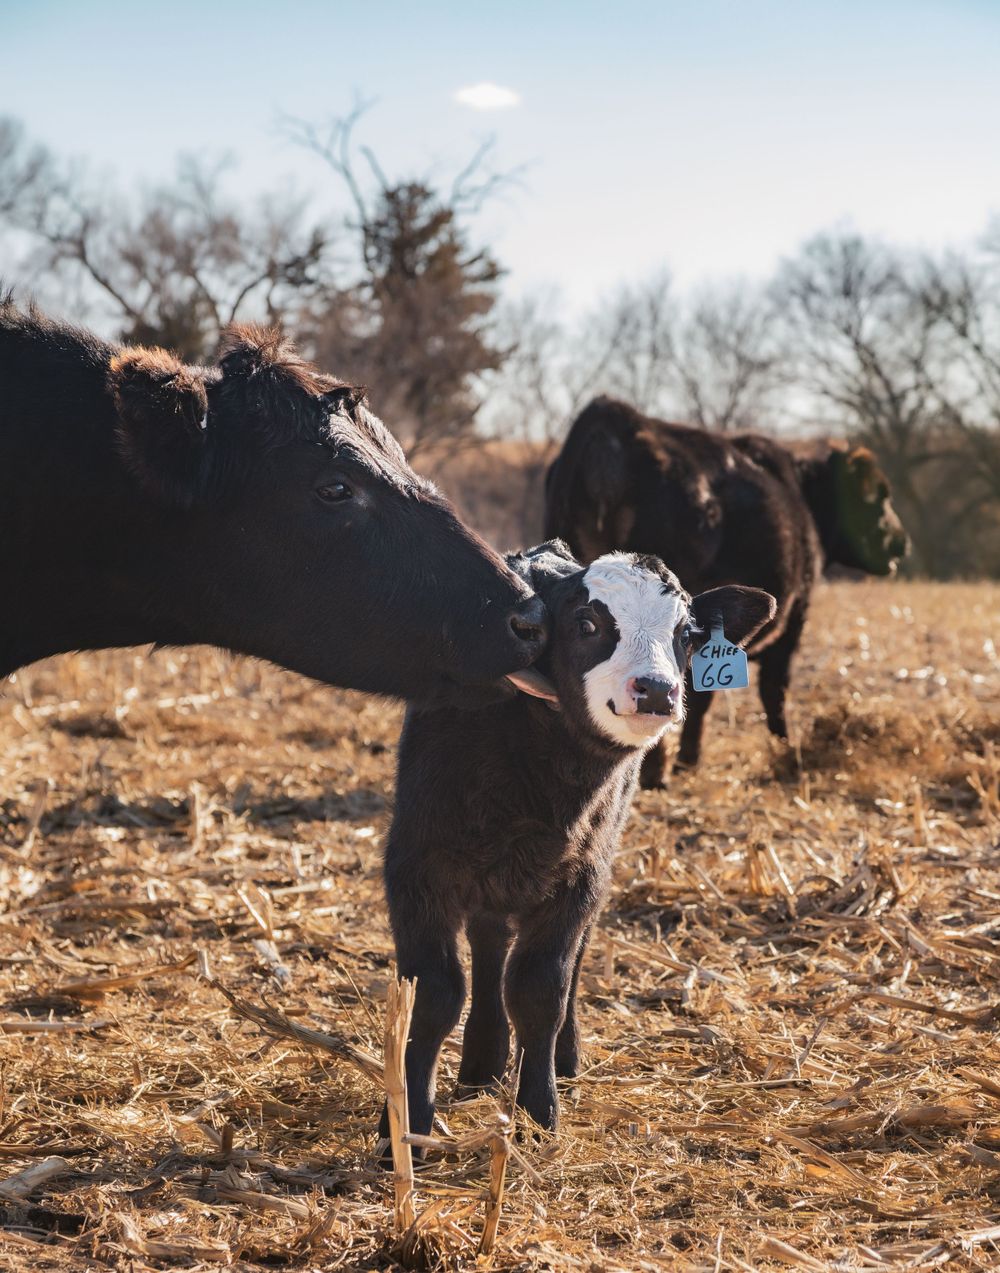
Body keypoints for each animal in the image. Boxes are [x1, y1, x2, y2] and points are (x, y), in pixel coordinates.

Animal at [379, 541, 774, 1140]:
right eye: (587, 623)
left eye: (686, 634)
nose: (658, 690)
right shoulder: (415, 868)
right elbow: (431, 997)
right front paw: (404, 1128)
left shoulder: (578, 876)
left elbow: (541, 989)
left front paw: (538, 1110)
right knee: (490, 943)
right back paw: (482, 1063)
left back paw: (553, 1058)